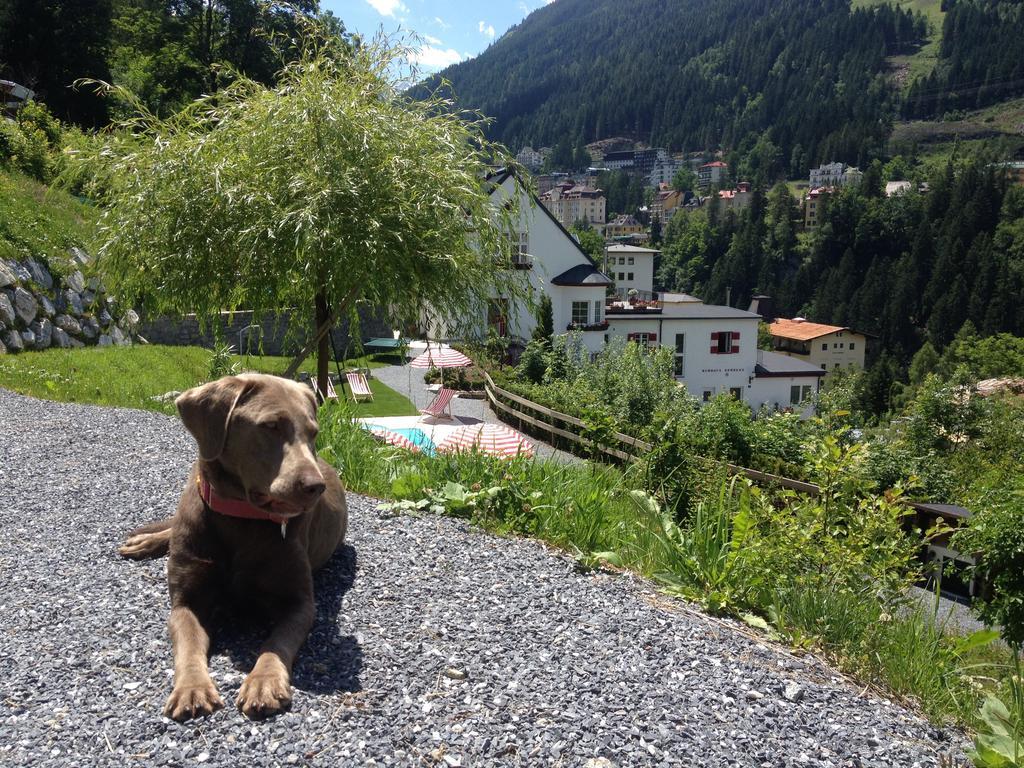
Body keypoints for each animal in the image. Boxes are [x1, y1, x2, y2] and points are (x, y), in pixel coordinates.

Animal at [119, 372, 348, 720]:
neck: (241, 518)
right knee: (173, 528)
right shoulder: (186, 602)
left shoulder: (300, 604)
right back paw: (147, 540)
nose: (315, 486)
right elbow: (188, 644)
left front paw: (263, 683)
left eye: (313, 432)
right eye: (271, 425)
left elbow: (276, 642)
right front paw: (192, 688)